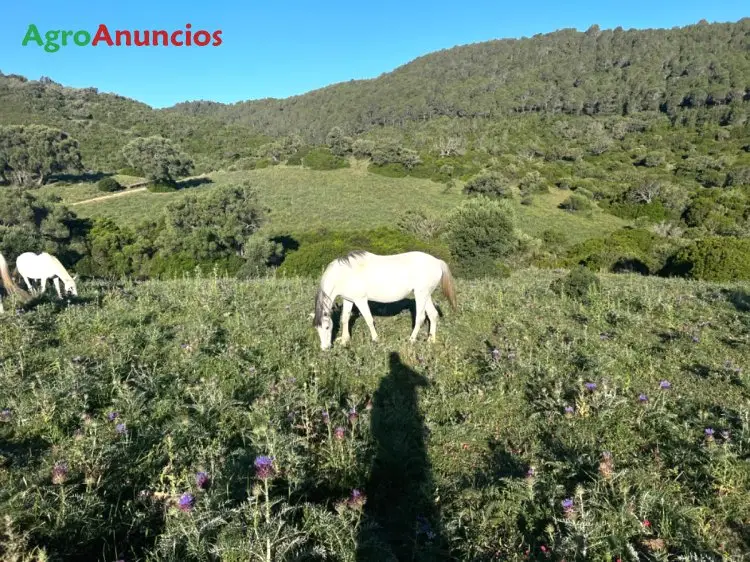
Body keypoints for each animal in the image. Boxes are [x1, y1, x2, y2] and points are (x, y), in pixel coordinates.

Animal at [312, 248, 458, 346]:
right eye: (317, 329)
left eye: (327, 327)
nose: (325, 348)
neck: (344, 274)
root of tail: (437, 262)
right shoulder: (348, 299)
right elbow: (345, 319)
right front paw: (344, 340)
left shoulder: (360, 300)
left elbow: (369, 319)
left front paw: (375, 339)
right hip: (425, 295)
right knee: (433, 315)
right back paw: (431, 340)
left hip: (421, 295)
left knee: (421, 318)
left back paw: (411, 340)